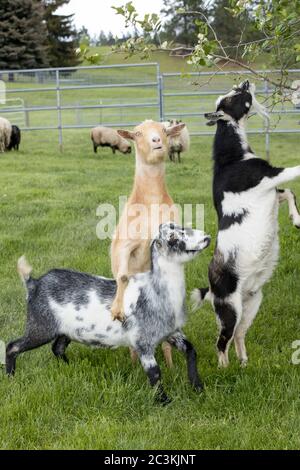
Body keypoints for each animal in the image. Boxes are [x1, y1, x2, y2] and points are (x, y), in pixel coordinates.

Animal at [5, 224, 211, 404]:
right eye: (173, 237)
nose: (206, 237)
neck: (154, 290)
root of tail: (34, 284)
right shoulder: (143, 342)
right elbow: (154, 373)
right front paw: (164, 401)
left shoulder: (172, 333)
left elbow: (191, 350)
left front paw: (198, 387)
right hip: (41, 326)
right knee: (12, 346)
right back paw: (10, 377)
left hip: (66, 330)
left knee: (57, 348)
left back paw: (70, 366)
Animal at [110, 118, 185, 368]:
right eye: (138, 133)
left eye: (164, 130)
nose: (157, 141)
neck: (150, 202)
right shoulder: (126, 244)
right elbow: (123, 276)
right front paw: (116, 309)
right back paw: (134, 364)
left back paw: (170, 365)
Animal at [191, 80, 300, 368]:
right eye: (234, 97)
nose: (245, 82)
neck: (233, 158)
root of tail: (211, 289)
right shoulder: (268, 176)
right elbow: (294, 173)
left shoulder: (270, 190)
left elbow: (288, 193)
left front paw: (296, 219)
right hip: (229, 308)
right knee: (221, 342)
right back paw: (224, 369)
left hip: (252, 303)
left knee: (238, 335)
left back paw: (243, 363)